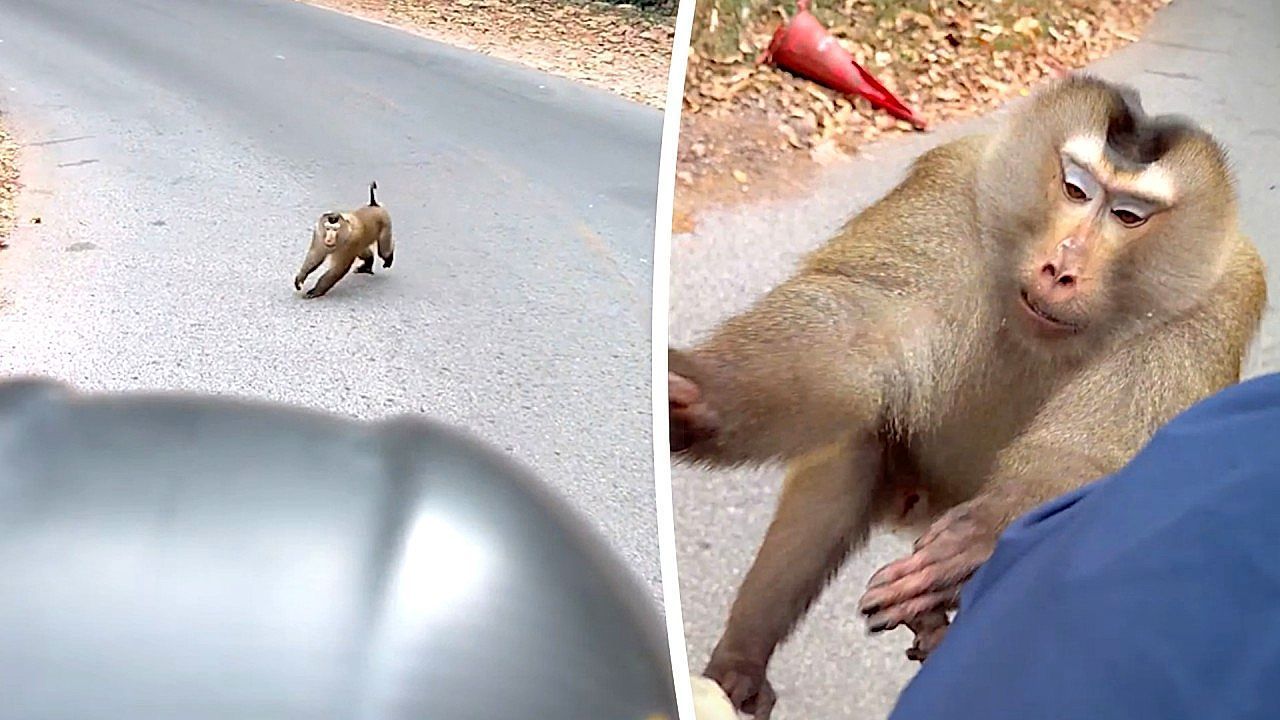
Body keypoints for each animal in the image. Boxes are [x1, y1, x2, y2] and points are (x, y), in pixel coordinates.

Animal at [668, 74, 1267, 719]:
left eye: (1129, 215)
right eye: (1074, 188)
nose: (1061, 269)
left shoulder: (1207, 309)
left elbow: (1101, 467)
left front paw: (982, 538)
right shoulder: (949, 198)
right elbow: (861, 332)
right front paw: (701, 394)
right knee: (854, 454)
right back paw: (742, 662)